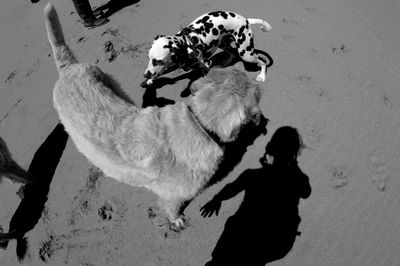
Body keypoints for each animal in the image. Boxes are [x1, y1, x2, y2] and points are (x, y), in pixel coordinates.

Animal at [144, 10, 272, 84]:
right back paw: (224, 63)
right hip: (224, 44)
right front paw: (149, 80)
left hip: (246, 54)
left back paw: (262, 76)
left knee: (262, 61)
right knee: (233, 54)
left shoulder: (206, 66)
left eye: (159, 61)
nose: (145, 75)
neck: (186, 44)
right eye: (149, 58)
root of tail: (246, 20)